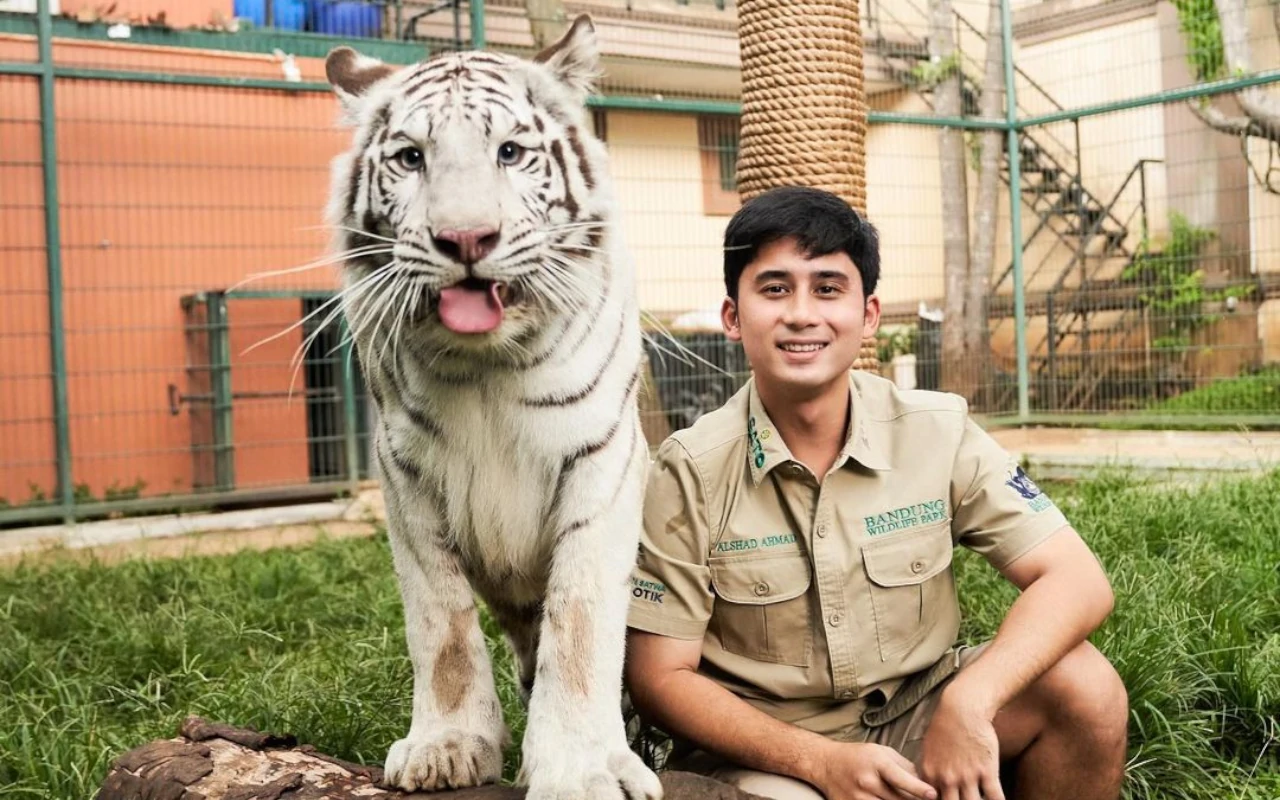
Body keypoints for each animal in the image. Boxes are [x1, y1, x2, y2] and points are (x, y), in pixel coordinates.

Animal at [322, 15, 660, 798]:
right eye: (411, 158)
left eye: (510, 152)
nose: (467, 238)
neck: (483, 364)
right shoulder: (404, 477)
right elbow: (439, 624)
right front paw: (446, 746)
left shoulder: (604, 456)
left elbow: (580, 620)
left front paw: (581, 768)